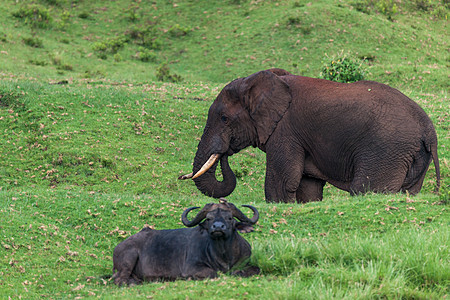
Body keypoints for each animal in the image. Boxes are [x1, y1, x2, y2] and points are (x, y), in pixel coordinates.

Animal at [112, 200, 260, 284]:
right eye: (209, 218)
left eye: (229, 218)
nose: (217, 227)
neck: (223, 255)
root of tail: (118, 248)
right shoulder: (191, 267)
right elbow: (214, 273)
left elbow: (255, 269)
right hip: (129, 257)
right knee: (119, 280)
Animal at [179, 69, 440, 203]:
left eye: (224, 118)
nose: (224, 153)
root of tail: (429, 130)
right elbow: (307, 186)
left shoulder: (285, 130)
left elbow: (282, 182)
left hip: (387, 149)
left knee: (364, 189)